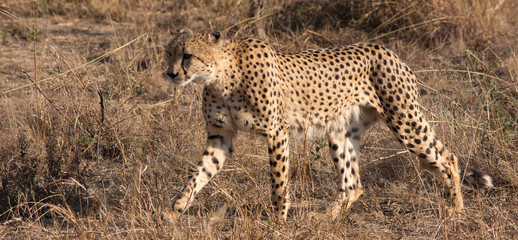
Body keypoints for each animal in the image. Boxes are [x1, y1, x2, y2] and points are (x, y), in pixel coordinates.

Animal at [164, 29, 496, 222]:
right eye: (169, 53)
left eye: (188, 55)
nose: (170, 74)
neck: (220, 75)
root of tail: (387, 50)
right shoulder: (220, 137)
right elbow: (198, 175)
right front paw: (173, 211)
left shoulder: (276, 132)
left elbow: (278, 182)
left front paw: (278, 220)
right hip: (341, 132)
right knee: (353, 184)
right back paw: (324, 218)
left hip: (404, 122)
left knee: (448, 157)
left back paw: (455, 208)